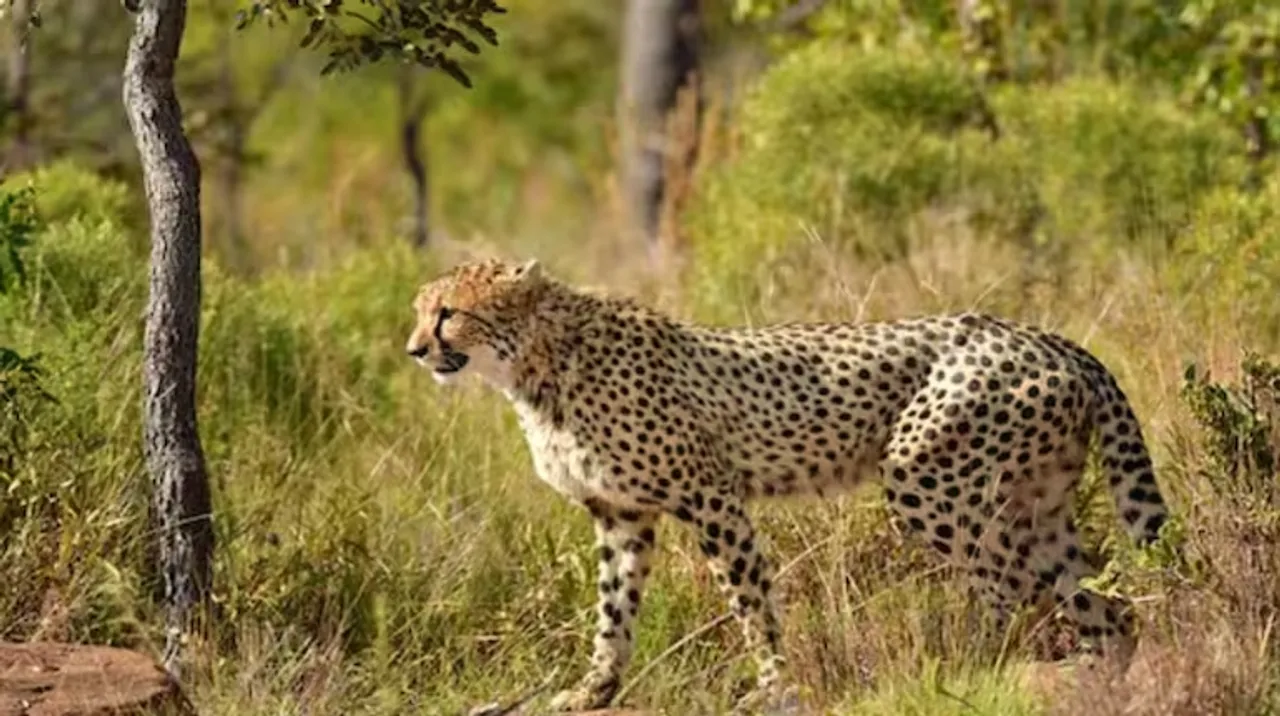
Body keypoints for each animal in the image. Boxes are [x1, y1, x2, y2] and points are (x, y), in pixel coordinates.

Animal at [403, 257, 1168, 712]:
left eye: (448, 313)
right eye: (419, 311)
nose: (413, 349)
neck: (538, 365)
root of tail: (1047, 336)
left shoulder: (711, 497)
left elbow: (750, 604)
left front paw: (774, 685)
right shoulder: (620, 515)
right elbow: (612, 613)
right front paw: (593, 690)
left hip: (926, 479)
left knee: (1005, 583)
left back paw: (973, 668)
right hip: (1035, 502)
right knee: (1101, 603)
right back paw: (1095, 674)